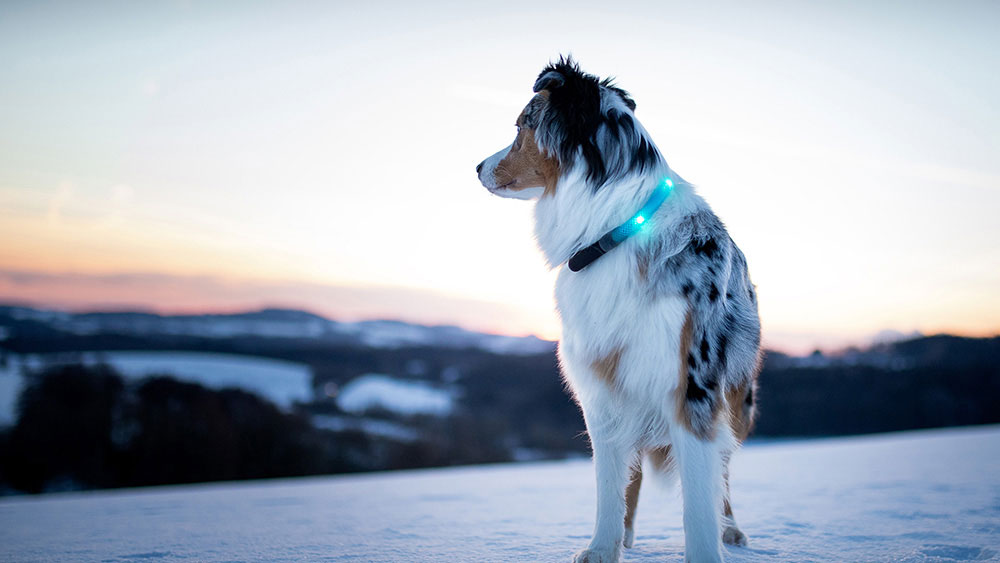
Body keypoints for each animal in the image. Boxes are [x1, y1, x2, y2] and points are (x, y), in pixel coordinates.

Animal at [480, 59, 760, 560]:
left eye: (520, 126)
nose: (476, 167)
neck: (615, 231)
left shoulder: (691, 386)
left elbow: (699, 496)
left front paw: (706, 549)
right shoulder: (601, 386)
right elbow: (611, 482)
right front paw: (601, 549)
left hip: (736, 398)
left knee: (723, 467)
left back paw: (731, 530)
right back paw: (628, 536)